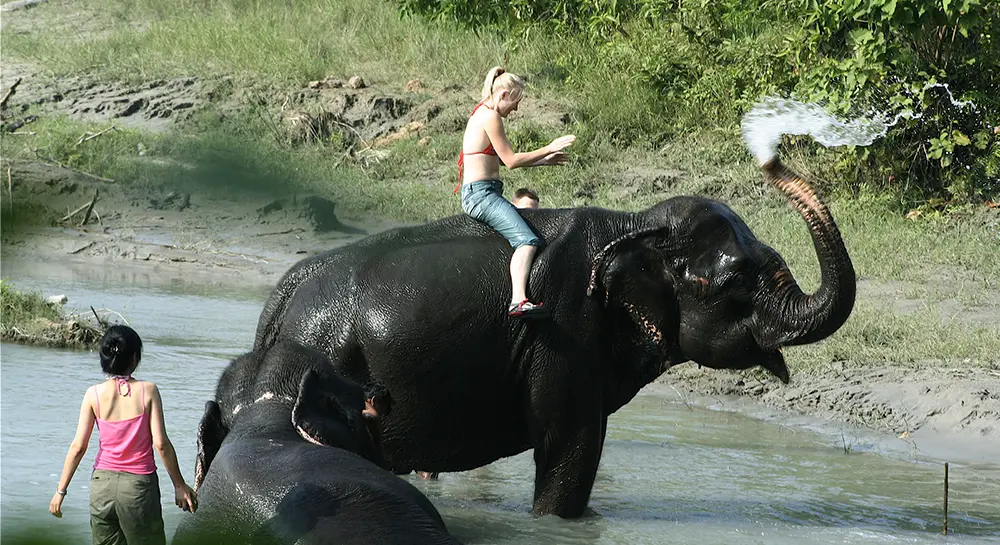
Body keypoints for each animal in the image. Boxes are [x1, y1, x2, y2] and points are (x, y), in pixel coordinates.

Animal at [252, 159, 856, 518]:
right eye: (731, 281)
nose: (771, 160)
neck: (631, 225)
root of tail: (282, 296)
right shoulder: (564, 331)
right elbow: (571, 442)